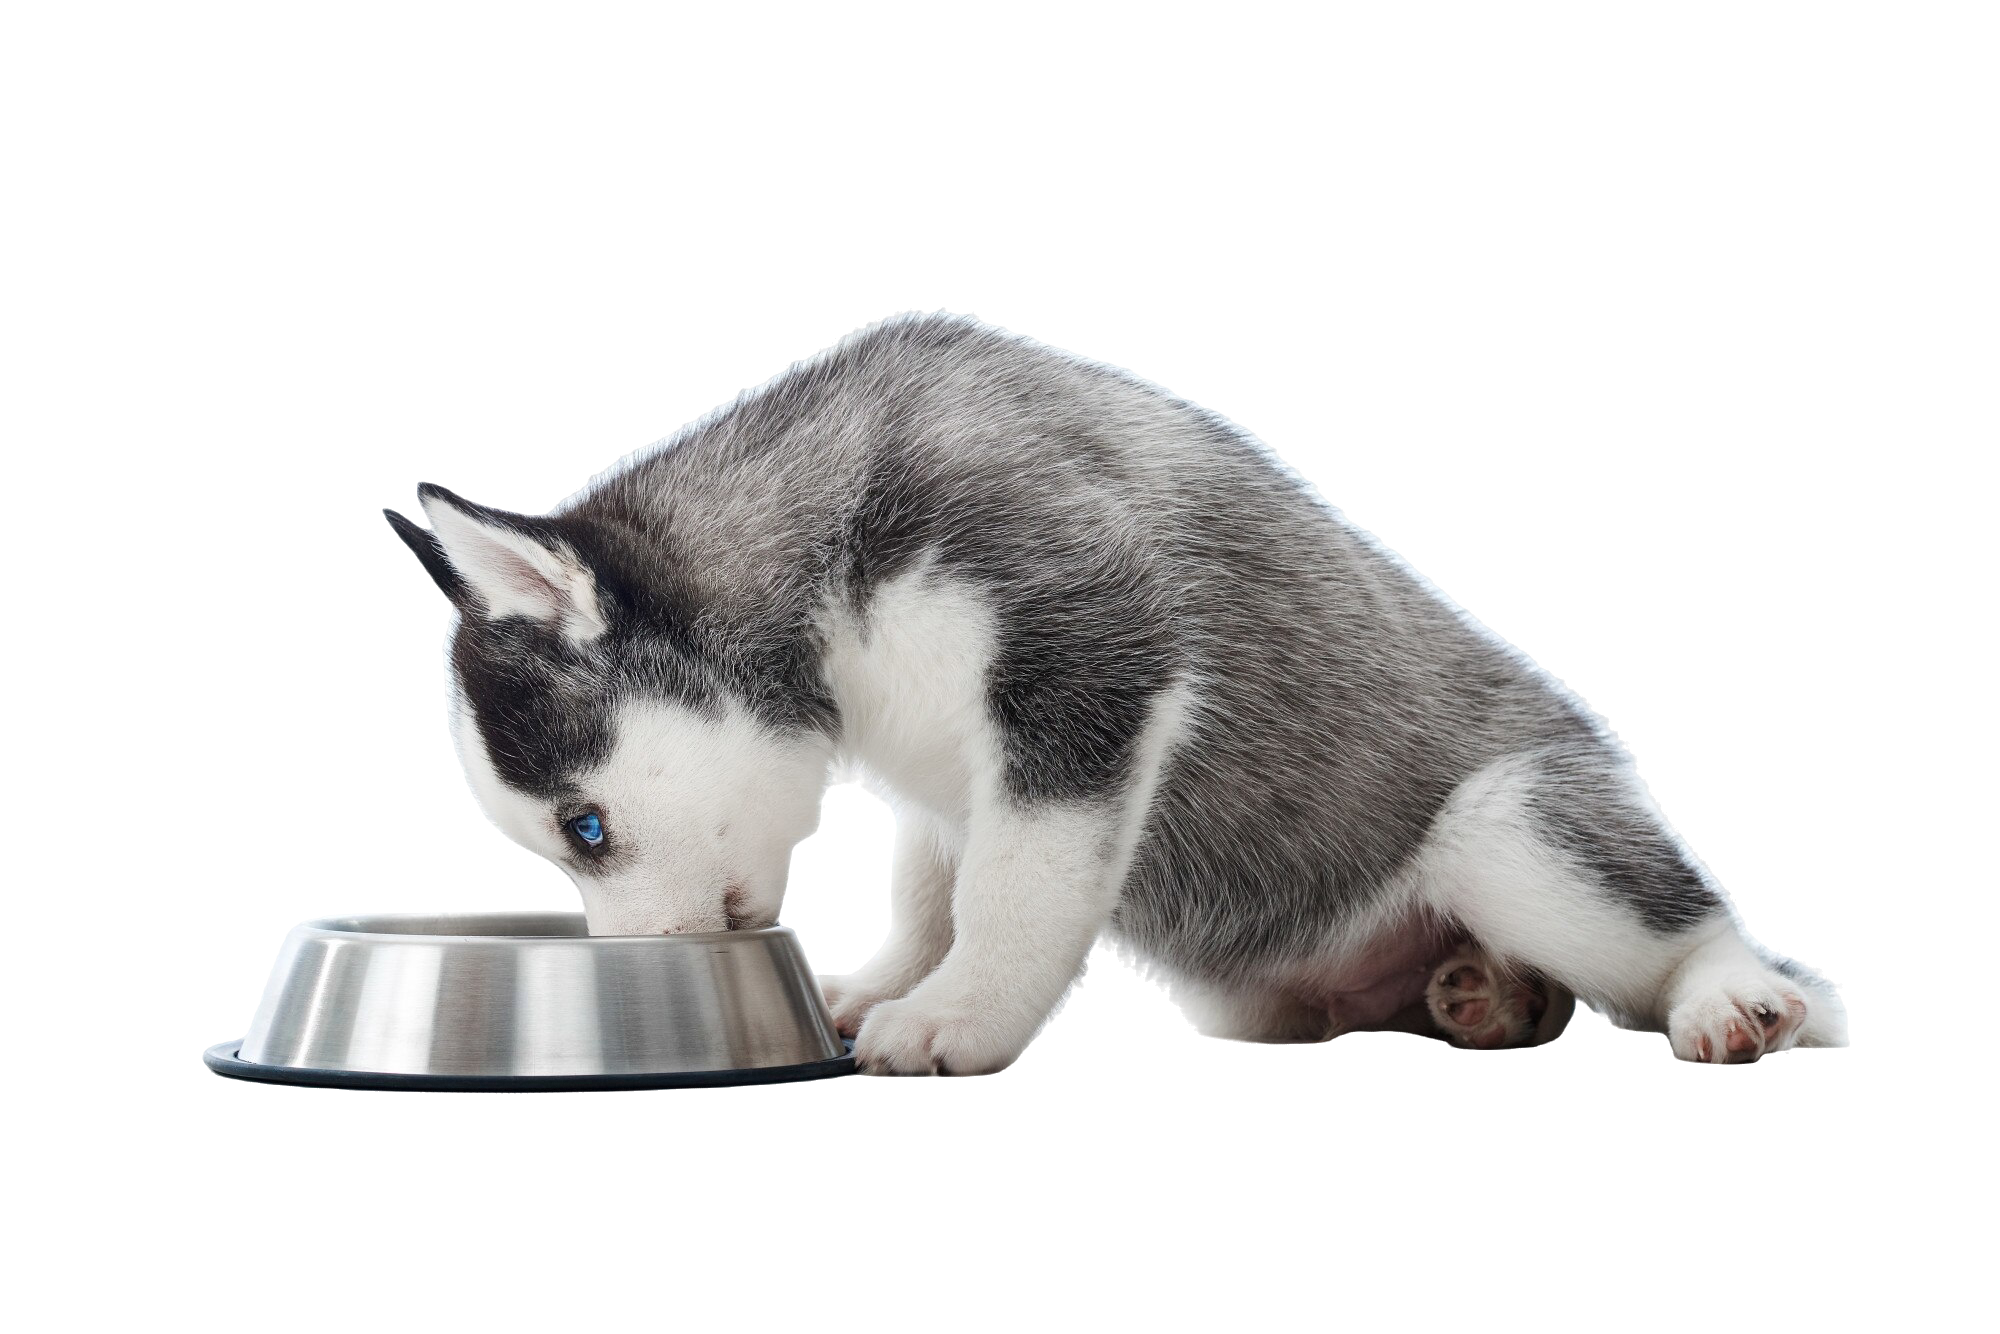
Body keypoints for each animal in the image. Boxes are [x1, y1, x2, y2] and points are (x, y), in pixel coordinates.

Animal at [382, 314, 1848, 1072]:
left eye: (584, 830)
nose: (646, 976)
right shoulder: (948, 777)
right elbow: (931, 886)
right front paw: (888, 979)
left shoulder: (1083, 665)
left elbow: (1013, 893)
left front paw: (958, 1016)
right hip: (1265, 991)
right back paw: (1484, 997)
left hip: (1524, 832)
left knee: (1686, 928)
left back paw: (1731, 998)